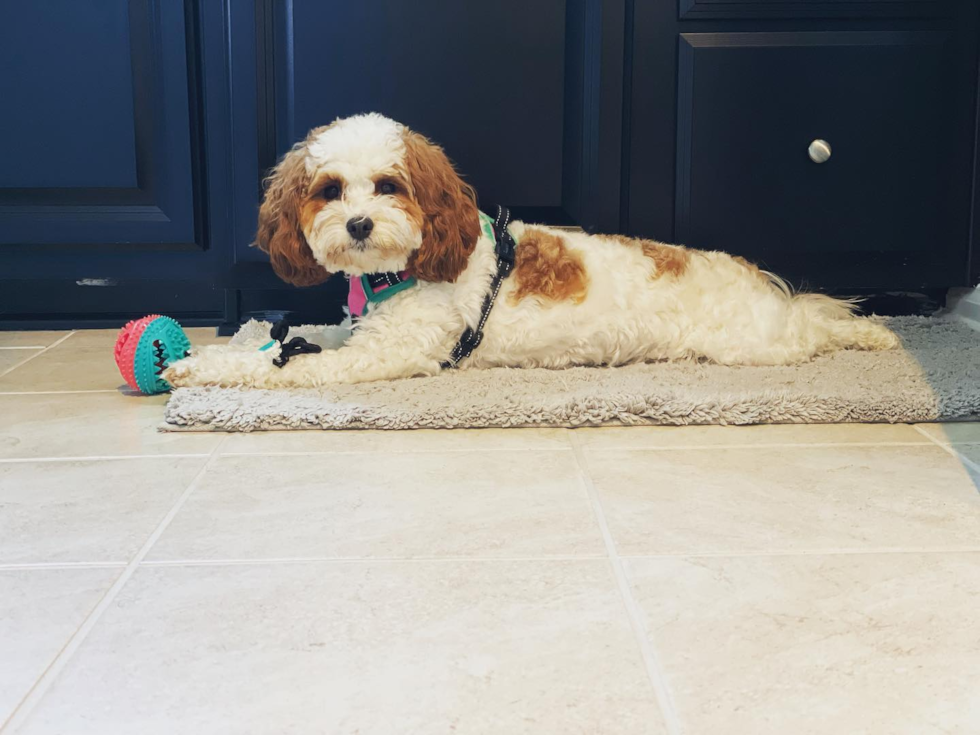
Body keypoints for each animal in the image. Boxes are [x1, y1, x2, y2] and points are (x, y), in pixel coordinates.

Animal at [165, 111, 900, 388]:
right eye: (329, 190)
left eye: (389, 186)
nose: (360, 225)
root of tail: (753, 277)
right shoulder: (362, 333)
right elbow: (291, 342)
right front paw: (225, 349)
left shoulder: (384, 354)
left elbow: (282, 369)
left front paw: (202, 367)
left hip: (753, 346)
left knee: (816, 326)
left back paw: (874, 334)